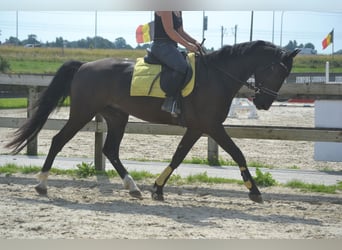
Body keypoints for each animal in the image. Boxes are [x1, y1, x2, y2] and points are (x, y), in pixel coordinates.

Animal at [6, 39, 298, 203]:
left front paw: (157, 188)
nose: (264, 103)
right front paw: (254, 191)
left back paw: (133, 187)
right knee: (58, 140)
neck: (217, 76)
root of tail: (85, 66)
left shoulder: (198, 128)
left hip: (116, 116)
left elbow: (178, 156)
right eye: (278, 71)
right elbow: (238, 153)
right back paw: (42, 184)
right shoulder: (212, 126)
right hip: (82, 113)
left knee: (110, 150)